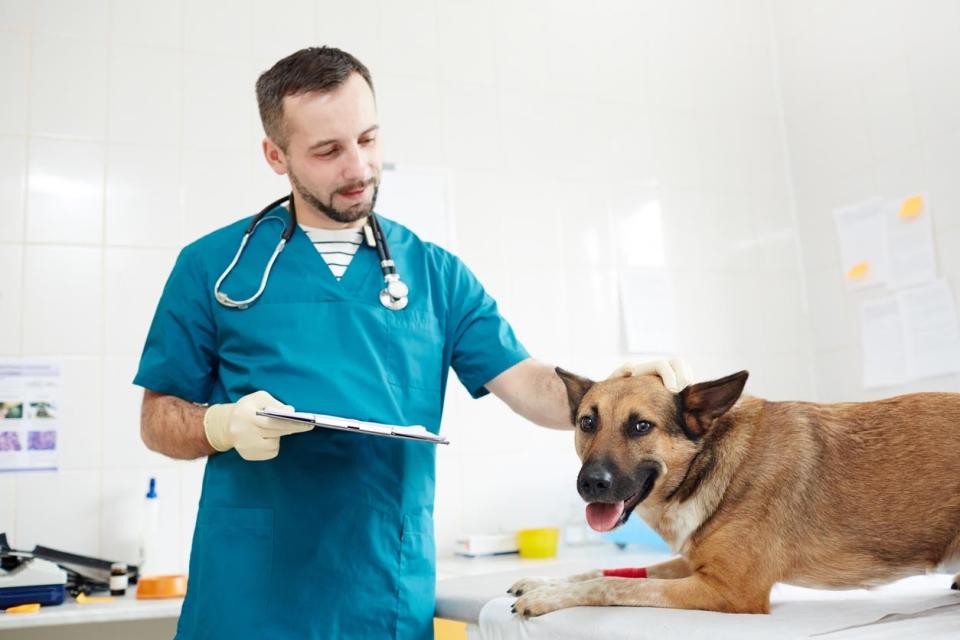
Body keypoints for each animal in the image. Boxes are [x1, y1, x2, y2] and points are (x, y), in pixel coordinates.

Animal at [506, 370, 960, 616]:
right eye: (587, 423)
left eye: (640, 426)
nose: (591, 484)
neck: (713, 465)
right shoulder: (695, 564)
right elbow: (607, 572)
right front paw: (542, 583)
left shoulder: (727, 590)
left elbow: (615, 586)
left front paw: (547, 597)